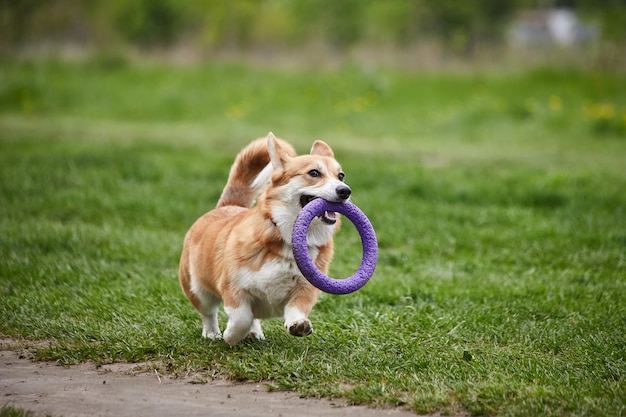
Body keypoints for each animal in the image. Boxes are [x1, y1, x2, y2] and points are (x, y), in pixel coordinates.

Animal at [178, 133, 348, 344]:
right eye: (314, 173)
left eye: (341, 176)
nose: (345, 191)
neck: (288, 240)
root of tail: (227, 205)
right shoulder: (233, 288)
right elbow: (241, 317)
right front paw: (231, 336)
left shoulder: (306, 288)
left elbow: (296, 308)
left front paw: (299, 325)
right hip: (197, 289)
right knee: (209, 313)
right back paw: (212, 333)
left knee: (254, 317)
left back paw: (254, 333)